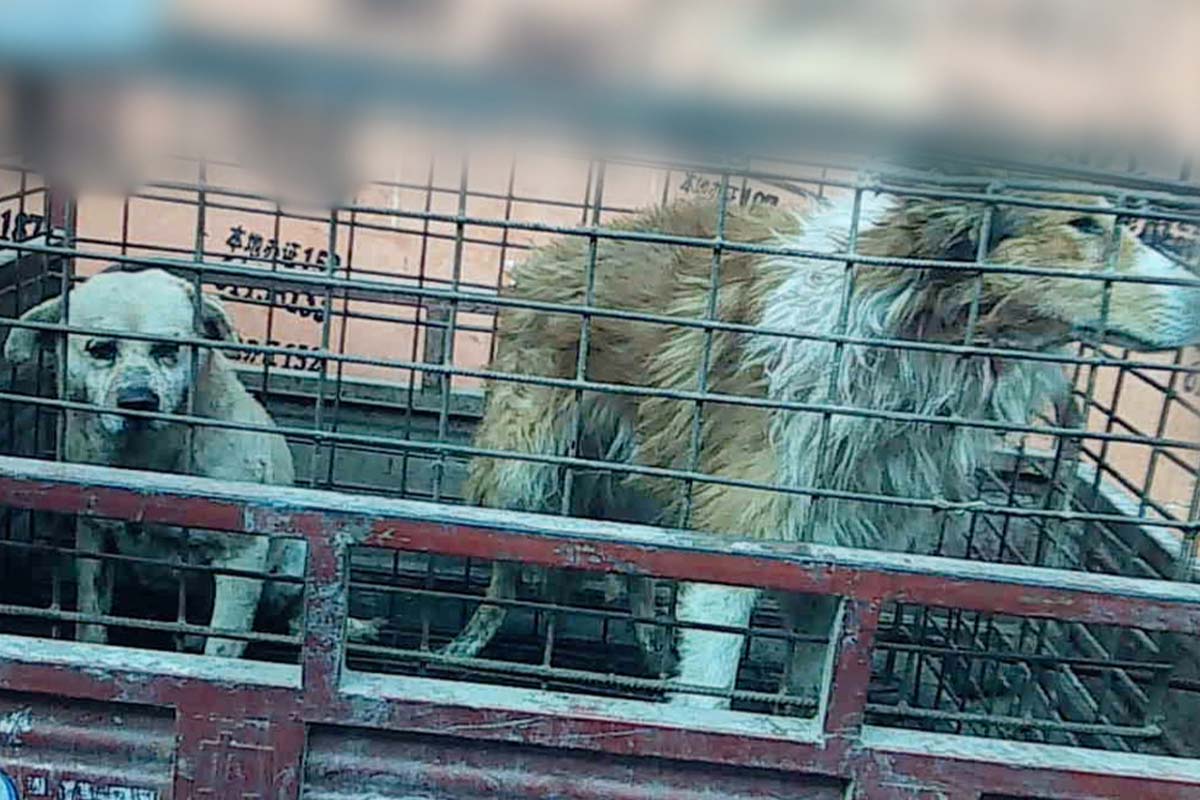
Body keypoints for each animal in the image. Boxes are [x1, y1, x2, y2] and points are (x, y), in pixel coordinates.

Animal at [3, 267, 379, 657]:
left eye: (168, 349)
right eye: (101, 349)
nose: (138, 401)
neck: (148, 459)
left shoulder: (242, 557)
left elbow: (223, 645)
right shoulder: (94, 537)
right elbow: (92, 619)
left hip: (297, 559)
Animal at [439, 185, 1200, 705]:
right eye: (1084, 225)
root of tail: (558, 246)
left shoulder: (844, 556)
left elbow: (812, 689)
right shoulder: (740, 535)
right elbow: (710, 697)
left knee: (632, 574)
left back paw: (651, 651)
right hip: (522, 471)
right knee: (504, 570)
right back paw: (466, 648)